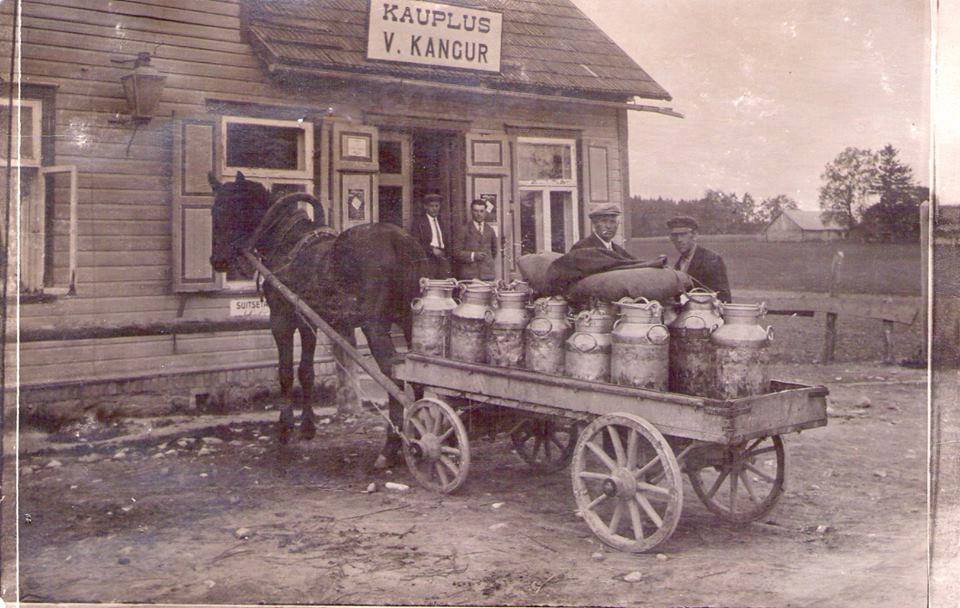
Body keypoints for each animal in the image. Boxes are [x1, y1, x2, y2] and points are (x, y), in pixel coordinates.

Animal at [212, 171, 430, 466]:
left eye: (222, 211)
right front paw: (307, 426)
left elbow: (285, 371)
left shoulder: (281, 318)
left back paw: (391, 446)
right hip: (411, 321)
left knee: (394, 377)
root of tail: (402, 243)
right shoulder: (308, 321)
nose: (217, 261)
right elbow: (306, 371)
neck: (287, 244)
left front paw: (285, 428)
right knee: (419, 372)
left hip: (375, 327)